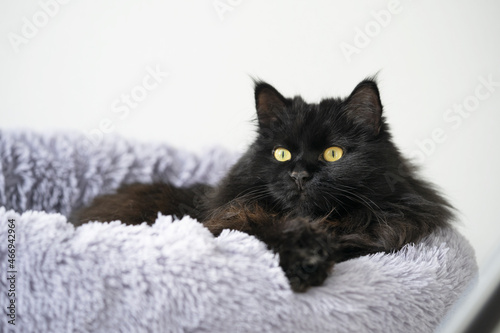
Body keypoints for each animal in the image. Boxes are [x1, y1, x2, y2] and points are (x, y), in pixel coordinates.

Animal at [73, 78, 454, 290]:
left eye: (333, 153)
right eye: (282, 154)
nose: (299, 175)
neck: (319, 223)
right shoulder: (229, 223)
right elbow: (267, 231)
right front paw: (305, 262)